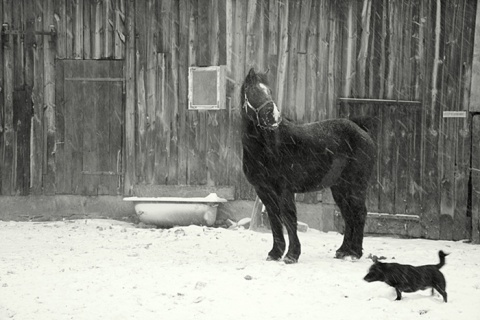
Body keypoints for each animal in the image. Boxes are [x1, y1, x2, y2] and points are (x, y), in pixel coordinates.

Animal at [242, 67, 376, 262]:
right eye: (253, 91)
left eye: (270, 91)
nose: (272, 116)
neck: (269, 146)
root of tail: (362, 132)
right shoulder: (263, 190)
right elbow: (274, 220)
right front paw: (275, 253)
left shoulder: (285, 189)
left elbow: (289, 218)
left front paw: (292, 255)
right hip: (340, 188)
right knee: (348, 215)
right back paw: (343, 250)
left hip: (356, 185)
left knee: (359, 213)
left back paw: (355, 253)